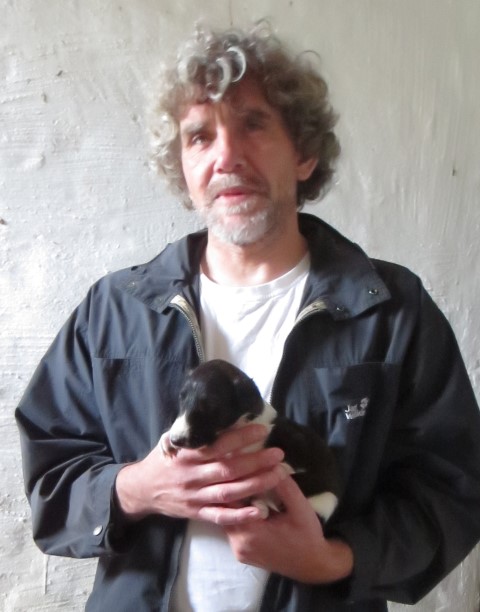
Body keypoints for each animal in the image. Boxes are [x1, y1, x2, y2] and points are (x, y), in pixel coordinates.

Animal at [160, 359, 341, 522]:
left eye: (211, 405)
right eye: (181, 398)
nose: (176, 440)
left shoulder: (298, 442)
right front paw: (166, 440)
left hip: (324, 499)